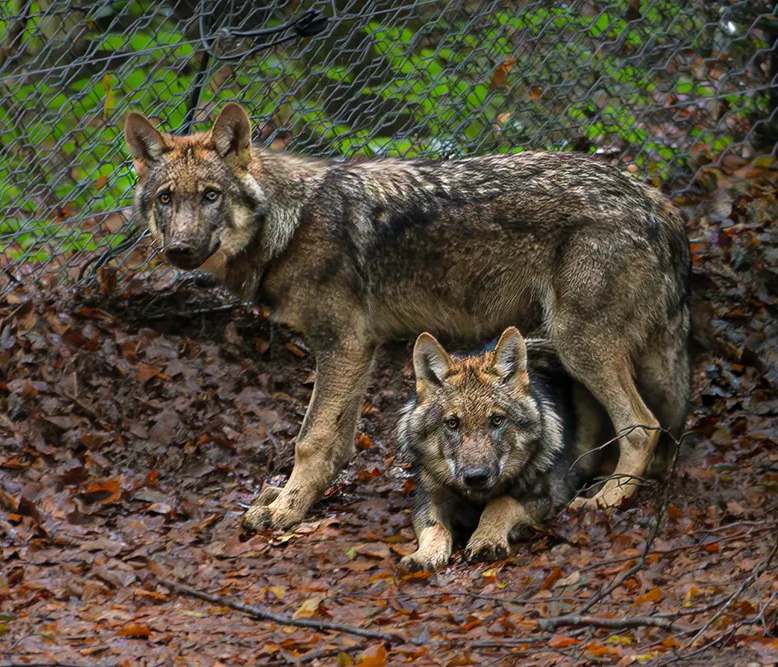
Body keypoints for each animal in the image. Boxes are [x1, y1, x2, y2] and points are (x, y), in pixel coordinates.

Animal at [124, 102, 691, 531]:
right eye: (167, 199)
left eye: (211, 196)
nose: (179, 249)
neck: (291, 223)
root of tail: (654, 198)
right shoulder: (358, 351)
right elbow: (336, 445)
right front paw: (296, 499)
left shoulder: (343, 345)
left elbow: (310, 439)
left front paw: (286, 511)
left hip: (578, 344)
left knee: (642, 425)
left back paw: (609, 499)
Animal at [397, 327, 612, 572]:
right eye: (452, 423)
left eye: (497, 420)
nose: (476, 477)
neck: (478, 497)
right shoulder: (428, 499)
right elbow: (435, 527)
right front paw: (423, 556)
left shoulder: (544, 496)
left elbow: (501, 503)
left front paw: (487, 539)